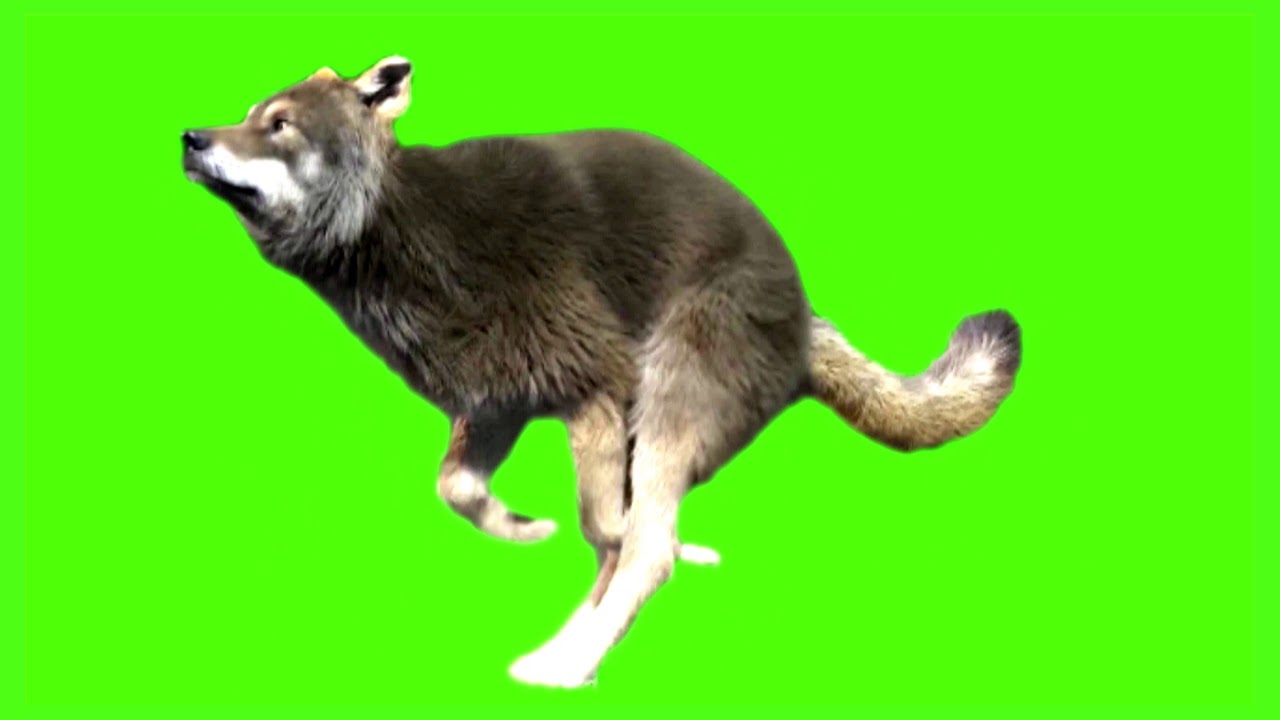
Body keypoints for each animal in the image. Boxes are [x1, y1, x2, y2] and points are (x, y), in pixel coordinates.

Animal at [182, 56, 1022, 688]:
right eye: (250, 114)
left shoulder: (599, 385)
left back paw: (573, 657)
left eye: (279, 124)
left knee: (643, 547)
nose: (190, 137)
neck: (402, 227)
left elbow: (612, 530)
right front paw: (520, 526)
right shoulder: (498, 403)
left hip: (677, 379)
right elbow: (458, 489)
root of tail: (804, 315)